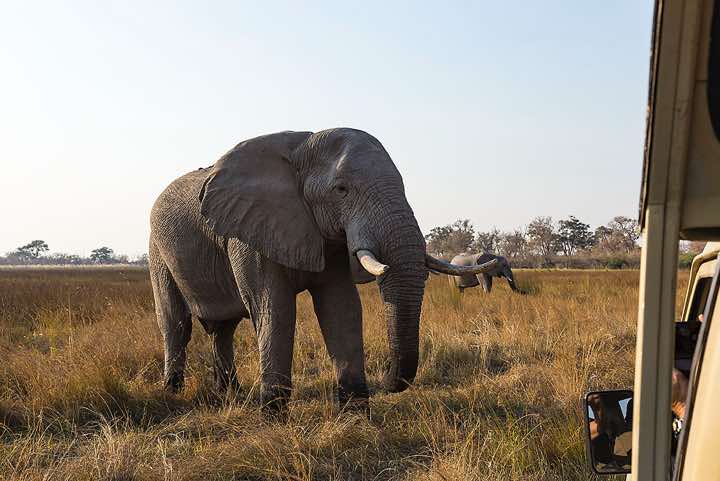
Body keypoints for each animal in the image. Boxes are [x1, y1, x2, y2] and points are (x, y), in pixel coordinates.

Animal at [149, 128, 497, 414]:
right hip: (157, 249)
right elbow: (275, 309)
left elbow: (341, 308)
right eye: (341, 190)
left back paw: (230, 395)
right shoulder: (247, 234)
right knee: (176, 323)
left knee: (223, 329)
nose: (386, 381)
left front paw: (356, 416)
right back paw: (174, 392)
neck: (302, 147)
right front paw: (273, 417)